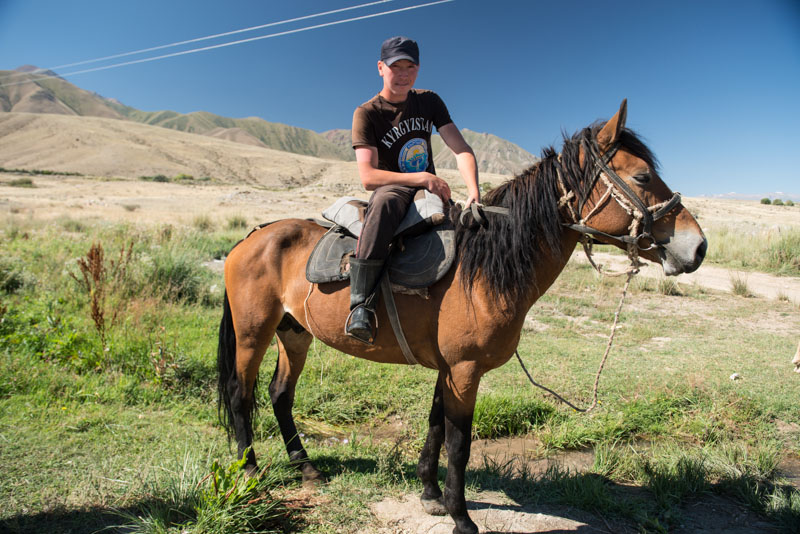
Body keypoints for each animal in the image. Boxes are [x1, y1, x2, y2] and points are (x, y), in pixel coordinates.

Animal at [217, 101, 708, 534]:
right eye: (642, 175)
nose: (698, 247)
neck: (484, 268)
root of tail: (254, 235)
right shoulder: (465, 370)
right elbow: (459, 444)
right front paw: (461, 516)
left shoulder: (448, 369)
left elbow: (435, 428)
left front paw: (430, 495)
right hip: (253, 332)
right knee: (241, 393)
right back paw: (250, 471)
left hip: (294, 333)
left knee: (280, 394)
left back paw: (306, 468)